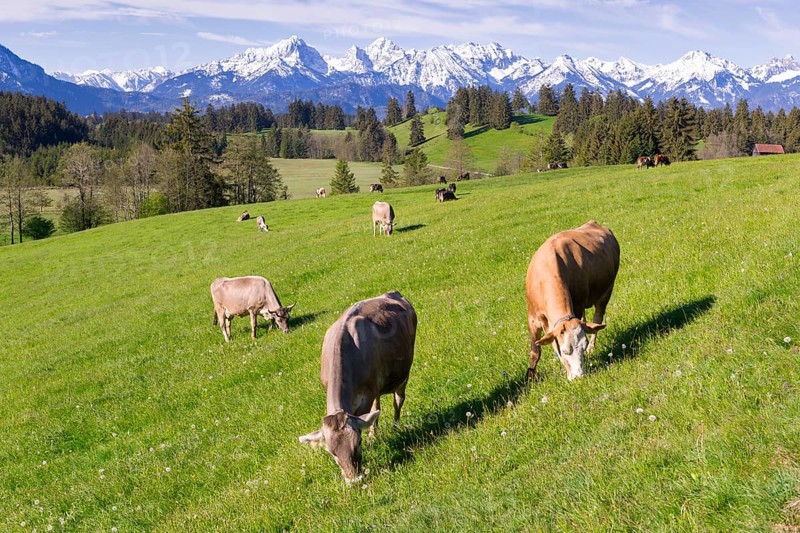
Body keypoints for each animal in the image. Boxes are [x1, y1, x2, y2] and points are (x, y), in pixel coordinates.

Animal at [299, 291, 417, 484]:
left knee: (397, 401)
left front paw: (371, 438)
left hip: (402, 375)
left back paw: (394, 426)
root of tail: (392, 293)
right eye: (332, 453)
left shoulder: (367, 394)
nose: (355, 480)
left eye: (358, 443)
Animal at [525, 220, 620, 382]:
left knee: (598, 318)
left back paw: (592, 348)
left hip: (607, 290)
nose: (579, 377)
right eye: (564, 351)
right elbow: (535, 351)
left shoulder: (578, 305)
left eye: (582, 346)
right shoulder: (532, 318)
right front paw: (530, 378)